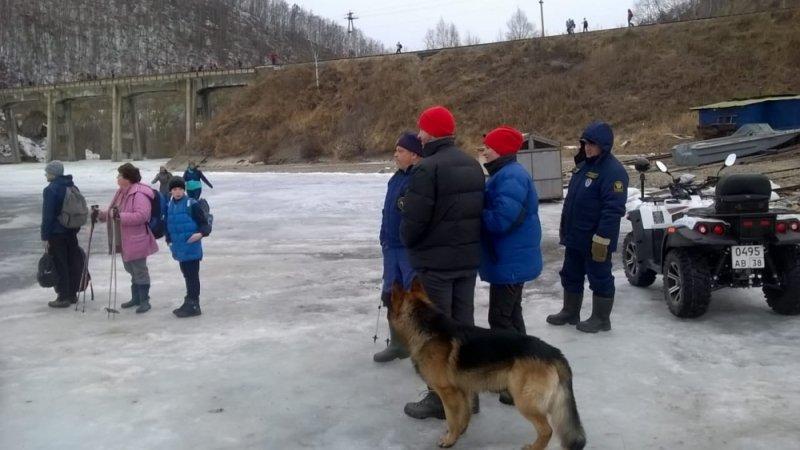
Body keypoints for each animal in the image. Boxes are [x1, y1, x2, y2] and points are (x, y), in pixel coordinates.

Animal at [390, 280, 588, 448]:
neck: (427, 328)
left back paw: (533, 447)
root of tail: (553, 352)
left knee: (547, 430)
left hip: (525, 401)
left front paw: (449, 439)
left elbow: (452, 419)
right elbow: (465, 414)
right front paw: (460, 432)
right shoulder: (465, 390)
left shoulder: (448, 393)